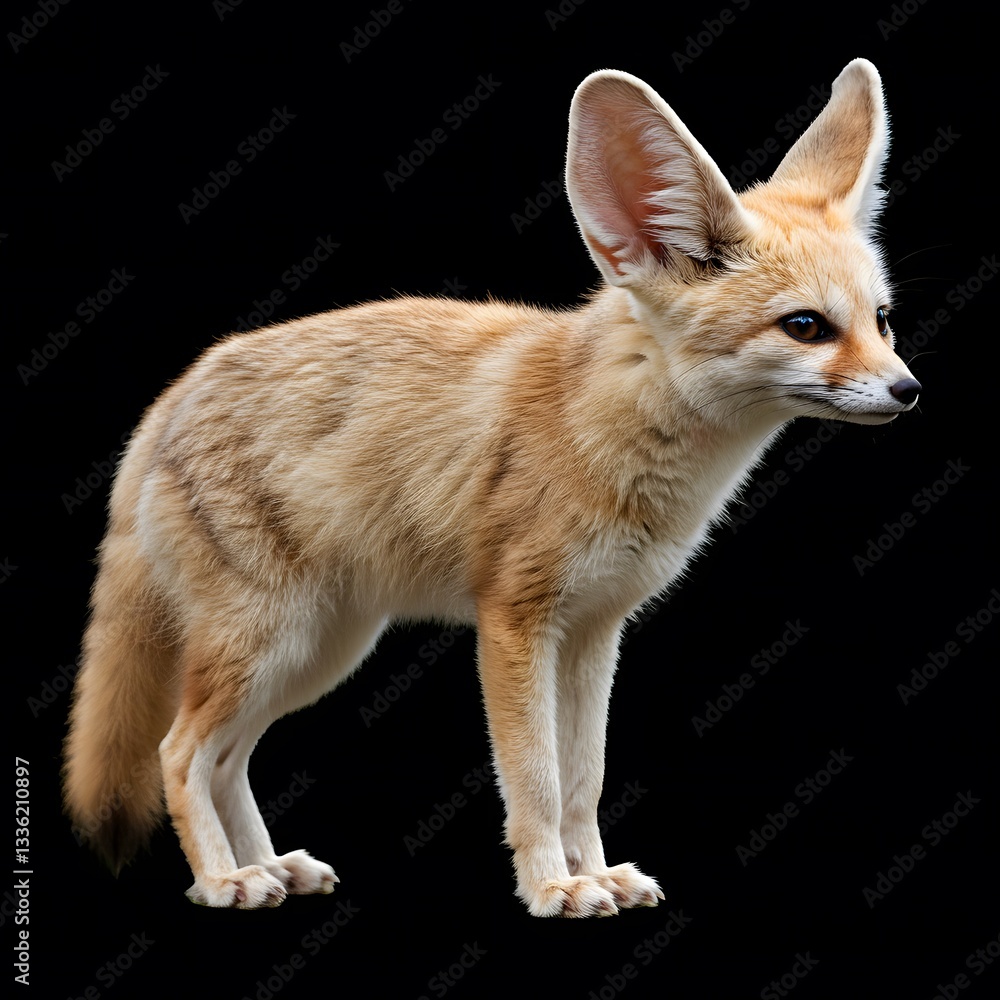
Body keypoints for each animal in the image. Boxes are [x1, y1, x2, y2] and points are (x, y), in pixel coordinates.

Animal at [64, 58, 920, 918]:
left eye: (882, 321)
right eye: (806, 327)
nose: (911, 392)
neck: (608, 430)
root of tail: (176, 390)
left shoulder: (595, 631)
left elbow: (584, 781)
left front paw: (594, 873)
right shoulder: (514, 621)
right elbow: (535, 783)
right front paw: (552, 887)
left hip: (317, 652)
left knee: (225, 759)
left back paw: (272, 866)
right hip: (270, 642)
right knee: (177, 753)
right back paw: (222, 880)